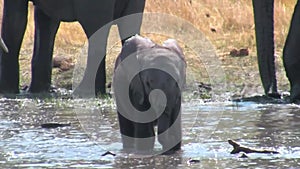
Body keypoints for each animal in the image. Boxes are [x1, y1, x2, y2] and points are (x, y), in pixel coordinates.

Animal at [0, 0, 145, 96]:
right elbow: (46, 21)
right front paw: (39, 91)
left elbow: (15, 21)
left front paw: (7, 91)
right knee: (130, 29)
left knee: (95, 30)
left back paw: (85, 92)